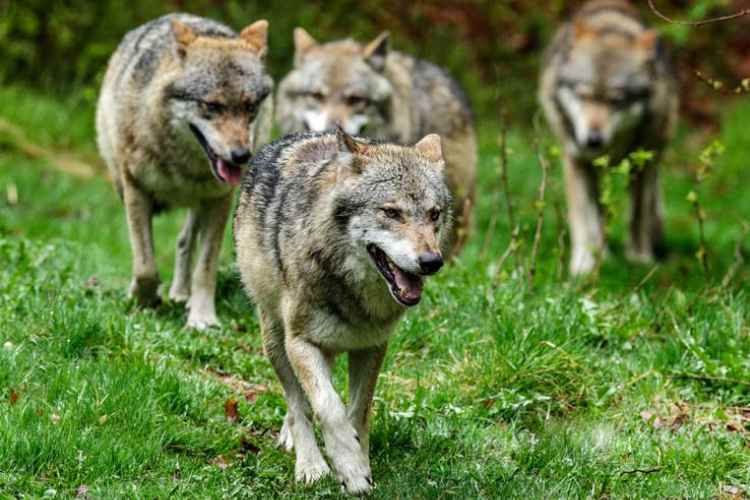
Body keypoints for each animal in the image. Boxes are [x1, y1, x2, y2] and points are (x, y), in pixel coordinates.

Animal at [96, 13, 273, 328]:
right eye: (211, 106)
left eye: (250, 107)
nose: (241, 156)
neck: (183, 167)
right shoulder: (136, 189)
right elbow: (145, 266)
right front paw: (144, 300)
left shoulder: (219, 199)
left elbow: (205, 267)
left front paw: (202, 318)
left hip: (201, 204)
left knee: (183, 241)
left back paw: (182, 294)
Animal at [234, 127, 452, 494]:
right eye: (391, 212)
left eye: (434, 214)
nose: (431, 262)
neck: (352, 294)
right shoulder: (301, 343)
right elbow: (328, 408)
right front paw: (349, 468)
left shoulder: (372, 346)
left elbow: (358, 411)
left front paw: (359, 462)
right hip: (275, 340)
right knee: (297, 404)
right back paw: (309, 465)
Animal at [539, 0, 678, 275]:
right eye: (583, 95)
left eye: (616, 101)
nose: (593, 140)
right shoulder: (575, 159)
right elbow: (583, 217)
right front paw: (583, 263)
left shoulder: (641, 163)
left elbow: (638, 215)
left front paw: (640, 259)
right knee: (598, 213)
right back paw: (602, 252)